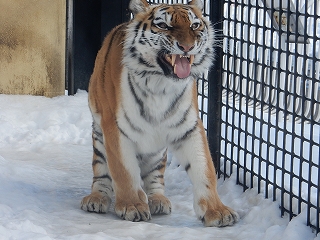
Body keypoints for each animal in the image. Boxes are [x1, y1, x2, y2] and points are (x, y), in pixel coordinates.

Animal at [81, 0, 239, 227]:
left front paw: (218, 211)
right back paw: (96, 199)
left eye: (194, 25)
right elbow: (124, 171)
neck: (161, 85)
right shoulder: (115, 129)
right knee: (101, 172)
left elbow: (205, 169)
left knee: (155, 177)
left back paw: (158, 201)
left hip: (157, 150)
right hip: (99, 136)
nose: (187, 47)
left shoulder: (190, 128)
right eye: (164, 26)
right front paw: (132, 206)